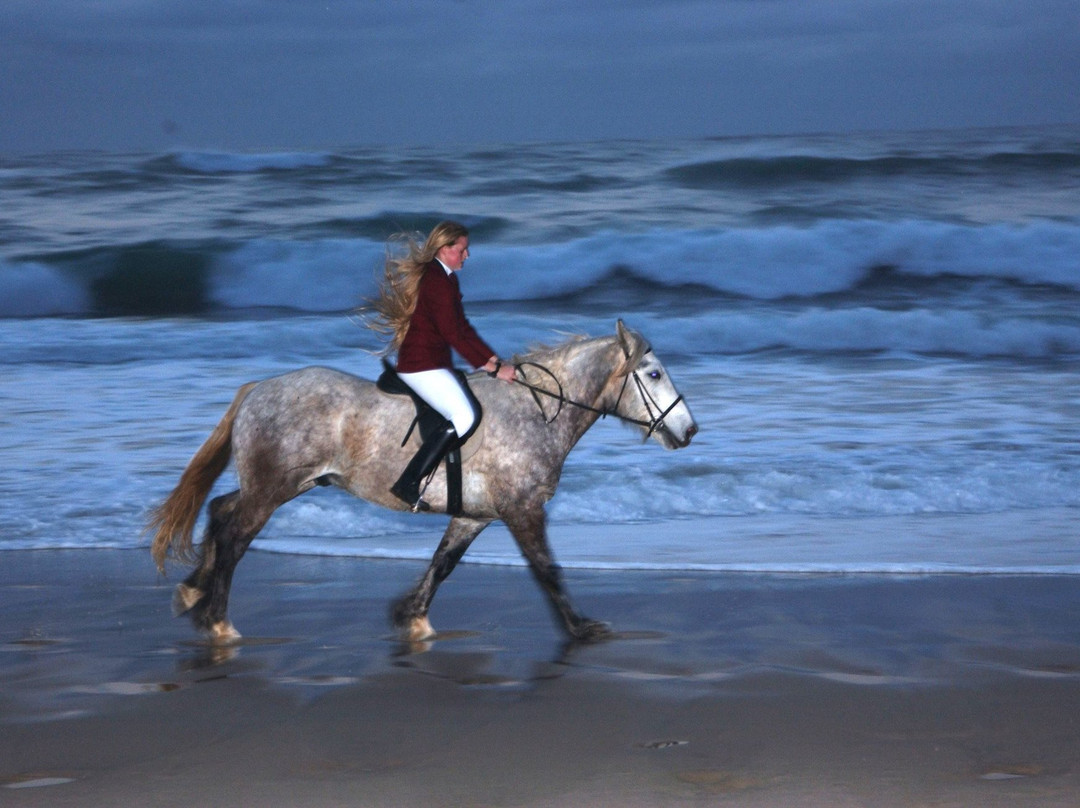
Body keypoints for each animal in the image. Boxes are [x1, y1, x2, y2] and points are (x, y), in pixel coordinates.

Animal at [148, 320, 697, 644]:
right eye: (652, 374)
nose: (689, 429)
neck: (537, 411)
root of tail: (257, 389)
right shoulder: (522, 509)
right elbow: (548, 570)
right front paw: (581, 626)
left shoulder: (476, 515)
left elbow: (443, 563)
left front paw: (410, 615)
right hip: (273, 490)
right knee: (234, 535)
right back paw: (217, 619)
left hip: (288, 484)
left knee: (220, 511)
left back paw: (192, 594)